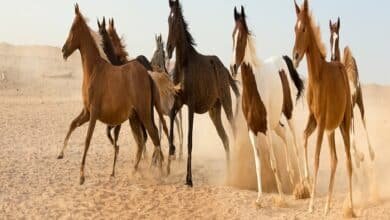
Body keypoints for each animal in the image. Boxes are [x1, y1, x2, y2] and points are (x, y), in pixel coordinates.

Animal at [59, 4, 168, 185]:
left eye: (72, 29)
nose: (63, 51)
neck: (94, 70)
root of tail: (147, 74)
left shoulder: (94, 113)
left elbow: (87, 140)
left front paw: (81, 176)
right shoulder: (86, 112)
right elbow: (72, 124)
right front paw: (60, 153)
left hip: (144, 113)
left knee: (154, 137)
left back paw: (159, 172)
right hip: (134, 117)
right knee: (141, 142)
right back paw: (135, 171)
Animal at [165, 0, 239, 187]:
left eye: (176, 20)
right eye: (168, 20)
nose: (168, 49)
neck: (183, 64)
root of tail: (225, 70)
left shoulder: (190, 105)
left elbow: (190, 140)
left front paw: (189, 179)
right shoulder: (177, 102)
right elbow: (171, 124)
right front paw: (169, 163)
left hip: (226, 103)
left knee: (233, 131)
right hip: (214, 111)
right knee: (225, 138)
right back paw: (229, 174)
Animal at [232, 6, 304, 206]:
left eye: (242, 37)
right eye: (232, 35)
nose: (232, 67)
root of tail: (283, 59)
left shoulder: (265, 128)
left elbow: (272, 163)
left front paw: (280, 198)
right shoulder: (253, 130)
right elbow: (259, 165)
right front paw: (258, 199)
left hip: (288, 114)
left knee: (296, 143)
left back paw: (305, 185)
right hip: (275, 123)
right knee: (285, 135)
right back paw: (292, 178)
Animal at [292, 0, 356, 217]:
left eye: (304, 28)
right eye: (294, 28)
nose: (295, 56)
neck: (317, 76)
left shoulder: (320, 123)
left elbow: (317, 157)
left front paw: (311, 205)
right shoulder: (314, 120)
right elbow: (303, 138)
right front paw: (305, 180)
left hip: (344, 124)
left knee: (348, 161)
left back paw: (351, 206)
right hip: (331, 130)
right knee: (335, 159)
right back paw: (327, 207)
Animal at [330, 17, 374, 167]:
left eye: (337, 37)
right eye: (330, 38)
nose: (332, 57)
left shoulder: (350, 109)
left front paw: (360, 157)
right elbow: (347, 138)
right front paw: (357, 158)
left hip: (359, 100)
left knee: (364, 118)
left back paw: (371, 154)